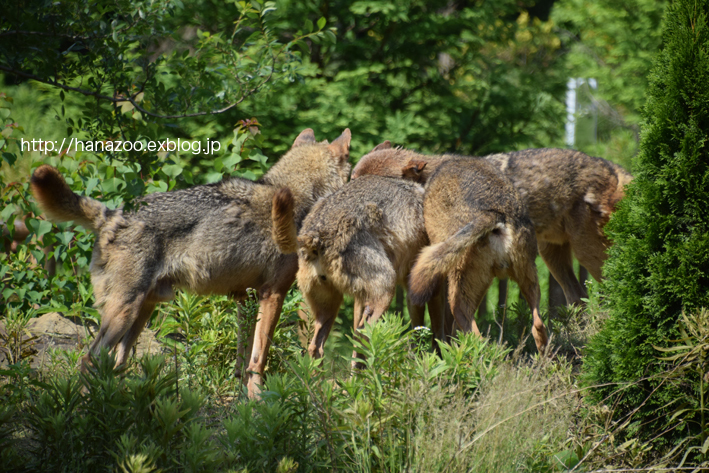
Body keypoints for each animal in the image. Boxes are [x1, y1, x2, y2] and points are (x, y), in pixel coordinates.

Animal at [30, 127, 352, 396]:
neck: (297, 196)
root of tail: (113, 214)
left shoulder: (246, 300)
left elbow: (242, 361)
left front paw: (242, 406)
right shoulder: (273, 295)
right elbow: (258, 360)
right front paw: (259, 403)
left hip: (141, 313)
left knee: (117, 364)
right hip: (124, 312)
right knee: (89, 360)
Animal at [272, 173, 442, 362]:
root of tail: (315, 235)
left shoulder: (362, 297)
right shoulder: (413, 289)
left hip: (330, 306)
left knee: (317, 347)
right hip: (386, 289)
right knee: (364, 336)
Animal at [352, 145, 632, 306]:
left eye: (373, 182)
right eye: (353, 178)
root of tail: (612, 168)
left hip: (588, 254)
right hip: (552, 257)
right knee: (577, 298)